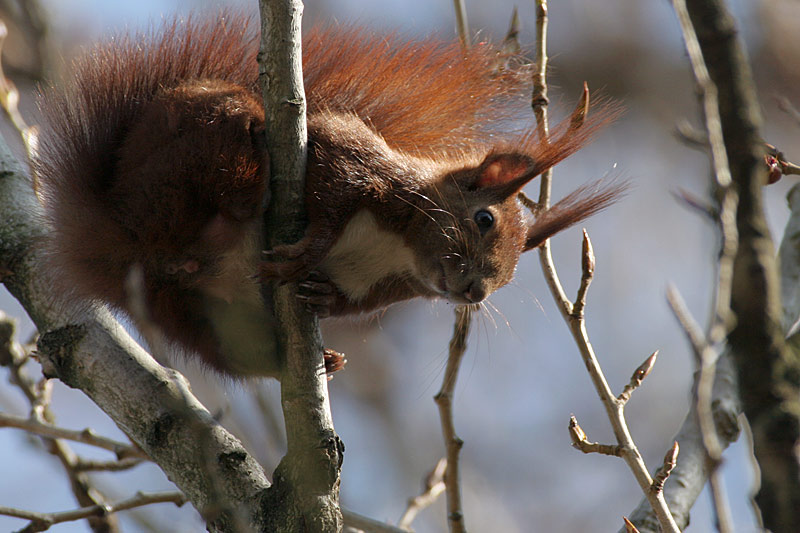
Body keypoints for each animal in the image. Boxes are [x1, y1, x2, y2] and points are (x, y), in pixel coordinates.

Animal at [36, 12, 624, 378]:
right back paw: (251, 174)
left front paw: (325, 299)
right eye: (484, 219)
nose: (475, 292)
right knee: (223, 168)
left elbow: (346, 297)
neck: (397, 249)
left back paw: (322, 359)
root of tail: (119, 235)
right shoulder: (354, 163)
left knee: (245, 358)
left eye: (507, 278)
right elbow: (332, 192)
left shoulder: (381, 289)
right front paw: (311, 249)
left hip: (200, 316)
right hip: (187, 153)